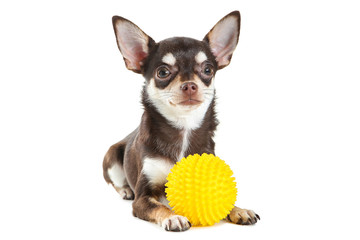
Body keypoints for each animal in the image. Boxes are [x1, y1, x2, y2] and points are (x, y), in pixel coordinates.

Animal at [102, 10, 260, 231]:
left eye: (208, 70)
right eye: (162, 72)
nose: (190, 85)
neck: (183, 127)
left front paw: (239, 210)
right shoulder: (143, 197)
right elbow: (158, 206)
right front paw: (173, 216)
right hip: (112, 158)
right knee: (116, 183)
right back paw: (125, 189)